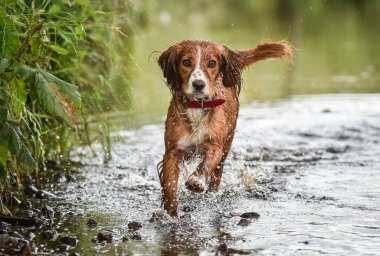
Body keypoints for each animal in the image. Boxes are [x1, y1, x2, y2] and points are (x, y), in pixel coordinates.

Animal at [156, 39, 292, 217]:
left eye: (212, 63)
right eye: (186, 62)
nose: (198, 84)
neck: (197, 107)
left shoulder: (216, 147)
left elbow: (206, 165)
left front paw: (196, 181)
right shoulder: (172, 152)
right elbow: (170, 185)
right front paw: (171, 213)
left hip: (227, 145)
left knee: (217, 175)